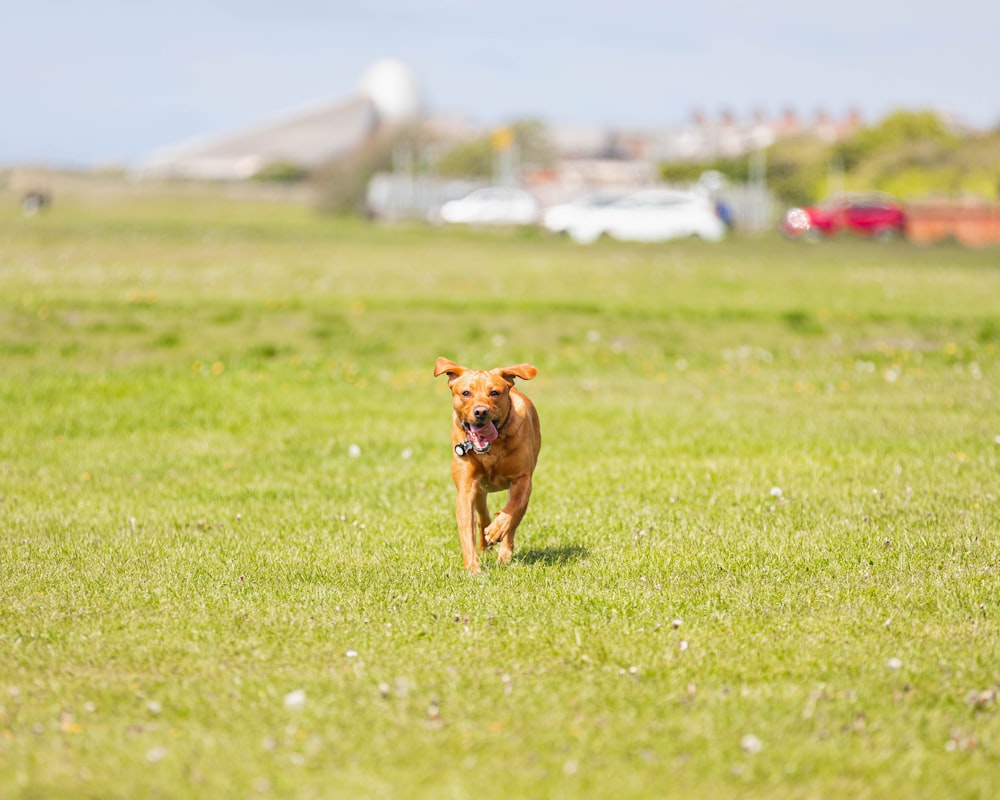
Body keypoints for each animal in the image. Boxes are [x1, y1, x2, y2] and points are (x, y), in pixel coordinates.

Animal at [430, 360, 540, 572]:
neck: (491, 448)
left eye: (494, 393)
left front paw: (497, 530)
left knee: (512, 521)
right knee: (482, 516)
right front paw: (473, 568)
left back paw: (503, 550)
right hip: (479, 492)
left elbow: (511, 510)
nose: (481, 412)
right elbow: (467, 530)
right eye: (466, 393)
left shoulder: (522, 479)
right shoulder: (466, 488)